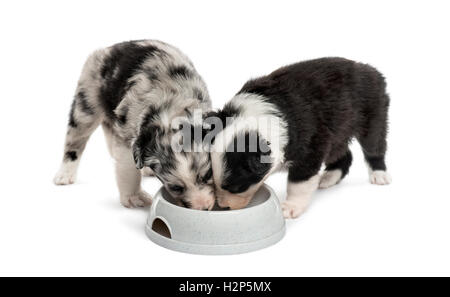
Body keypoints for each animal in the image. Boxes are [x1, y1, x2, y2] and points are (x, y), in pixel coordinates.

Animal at [53, 39, 215, 209]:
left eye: (208, 175)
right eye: (176, 188)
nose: (204, 208)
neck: (173, 106)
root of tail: (110, 48)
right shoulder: (126, 140)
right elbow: (128, 170)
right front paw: (134, 197)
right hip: (86, 103)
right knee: (75, 141)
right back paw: (65, 174)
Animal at [209, 57, 392, 217]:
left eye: (236, 188)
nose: (223, 207)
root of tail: (368, 69)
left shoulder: (309, 149)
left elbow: (298, 184)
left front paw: (290, 207)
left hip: (373, 114)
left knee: (374, 146)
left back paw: (379, 174)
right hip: (337, 133)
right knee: (344, 154)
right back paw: (329, 178)